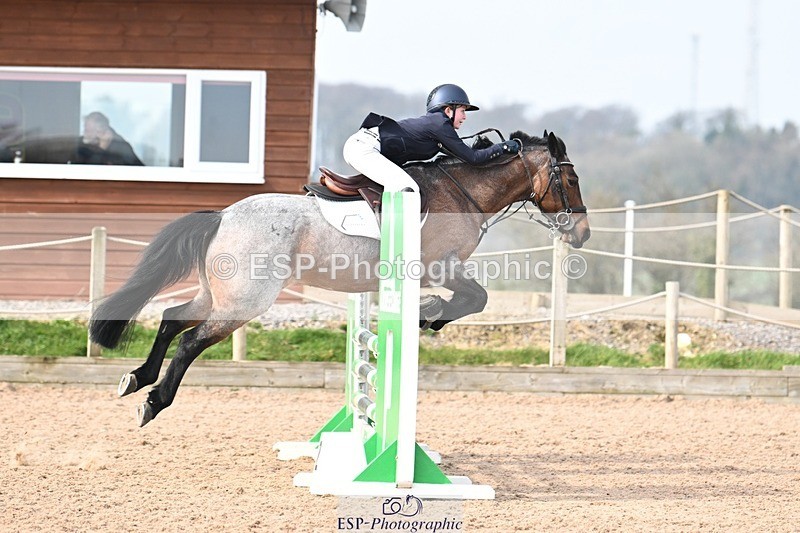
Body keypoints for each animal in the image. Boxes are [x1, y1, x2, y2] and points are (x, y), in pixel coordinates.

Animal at [89, 130, 591, 427]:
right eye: (572, 180)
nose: (582, 233)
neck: (466, 191)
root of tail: (223, 215)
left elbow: (474, 300)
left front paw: (429, 315)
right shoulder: (440, 267)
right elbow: (477, 298)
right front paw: (429, 314)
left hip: (220, 296)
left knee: (172, 317)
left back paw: (135, 379)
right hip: (245, 302)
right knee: (191, 341)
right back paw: (154, 401)